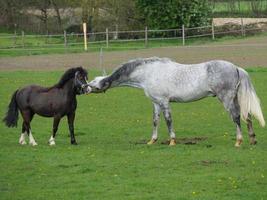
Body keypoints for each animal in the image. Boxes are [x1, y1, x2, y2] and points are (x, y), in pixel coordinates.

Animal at [89, 57, 266, 146]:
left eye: (95, 84)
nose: (85, 88)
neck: (148, 73)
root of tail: (235, 67)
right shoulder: (156, 103)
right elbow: (155, 121)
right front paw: (152, 140)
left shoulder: (164, 102)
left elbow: (168, 120)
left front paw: (172, 141)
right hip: (235, 99)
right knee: (247, 116)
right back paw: (252, 140)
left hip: (227, 99)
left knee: (236, 117)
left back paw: (239, 141)